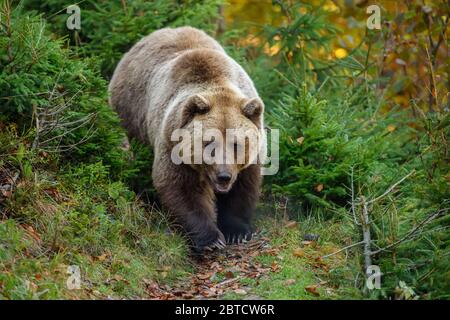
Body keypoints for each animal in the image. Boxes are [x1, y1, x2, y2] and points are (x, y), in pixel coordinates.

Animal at [107, 26, 266, 252]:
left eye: (236, 144)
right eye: (209, 143)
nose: (223, 176)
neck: (216, 83)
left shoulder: (251, 156)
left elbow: (244, 185)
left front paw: (236, 231)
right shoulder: (172, 143)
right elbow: (181, 188)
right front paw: (211, 240)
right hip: (131, 109)